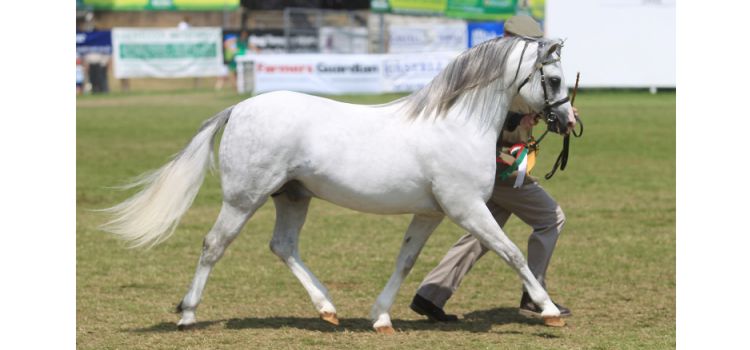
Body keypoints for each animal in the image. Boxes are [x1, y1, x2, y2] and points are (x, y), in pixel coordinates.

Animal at [103, 35, 580, 334]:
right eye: (554, 79)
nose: (568, 120)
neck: (456, 123)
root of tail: (238, 108)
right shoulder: (466, 209)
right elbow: (512, 253)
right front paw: (549, 310)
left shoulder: (430, 212)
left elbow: (405, 261)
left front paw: (381, 318)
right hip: (243, 199)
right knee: (214, 245)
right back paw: (187, 315)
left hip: (292, 197)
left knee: (283, 246)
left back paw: (328, 309)